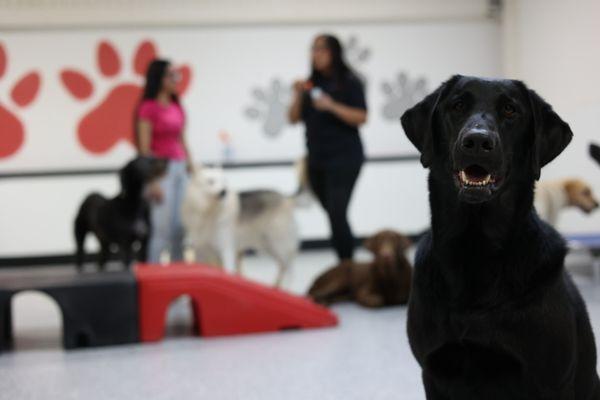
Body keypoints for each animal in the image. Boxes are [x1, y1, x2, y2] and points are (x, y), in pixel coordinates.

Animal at [400, 76, 600, 400]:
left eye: (510, 110)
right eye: (457, 105)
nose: (477, 142)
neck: (475, 249)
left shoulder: (551, 380)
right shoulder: (434, 373)